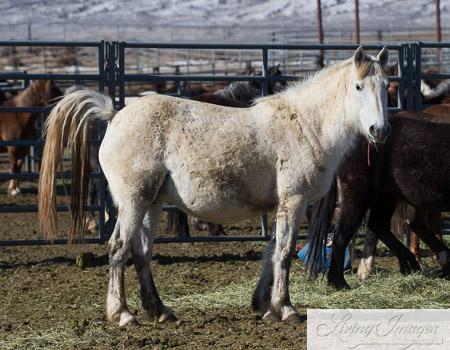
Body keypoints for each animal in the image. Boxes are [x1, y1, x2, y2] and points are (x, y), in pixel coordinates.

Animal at [39, 45, 390, 326]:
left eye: (386, 86)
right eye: (358, 86)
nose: (380, 130)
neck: (305, 124)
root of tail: (115, 115)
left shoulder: (281, 205)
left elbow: (272, 252)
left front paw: (264, 306)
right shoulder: (294, 201)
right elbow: (285, 253)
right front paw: (286, 308)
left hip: (151, 202)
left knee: (141, 253)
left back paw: (159, 310)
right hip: (133, 201)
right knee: (119, 248)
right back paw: (122, 314)